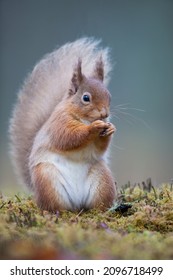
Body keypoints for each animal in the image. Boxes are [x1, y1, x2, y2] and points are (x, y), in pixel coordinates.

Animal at [9, 38, 117, 211]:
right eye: (86, 98)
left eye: (109, 96)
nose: (104, 114)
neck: (84, 119)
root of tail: (77, 204)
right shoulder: (59, 122)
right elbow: (68, 137)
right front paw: (92, 128)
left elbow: (99, 148)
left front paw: (111, 128)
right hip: (47, 180)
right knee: (54, 205)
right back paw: (55, 212)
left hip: (102, 179)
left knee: (97, 204)